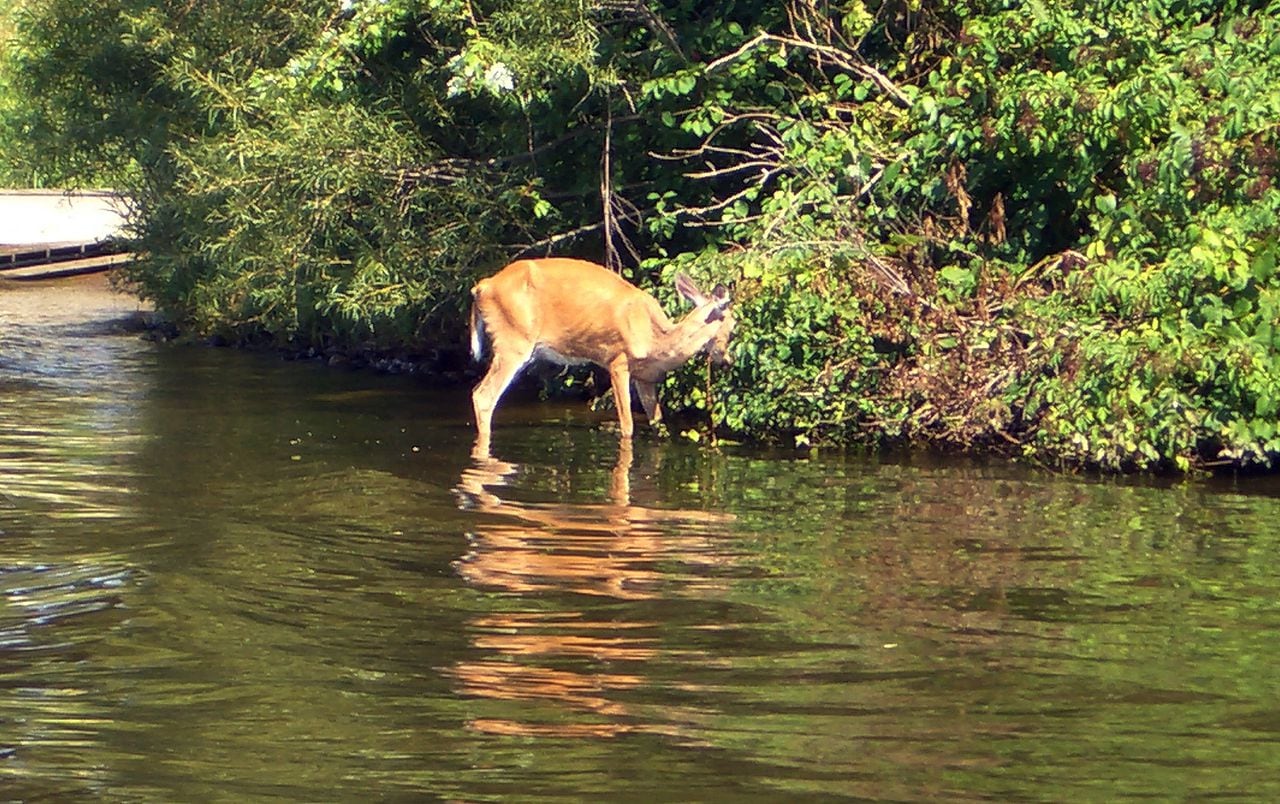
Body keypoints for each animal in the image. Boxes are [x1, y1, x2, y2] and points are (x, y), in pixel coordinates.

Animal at [471, 257, 737, 453]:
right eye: (733, 325)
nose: (726, 360)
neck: (655, 341)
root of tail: (481, 287)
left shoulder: (646, 377)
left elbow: (658, 423)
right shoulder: (617, 361)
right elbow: (627, 425)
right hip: (513, 341)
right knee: (483, 396)